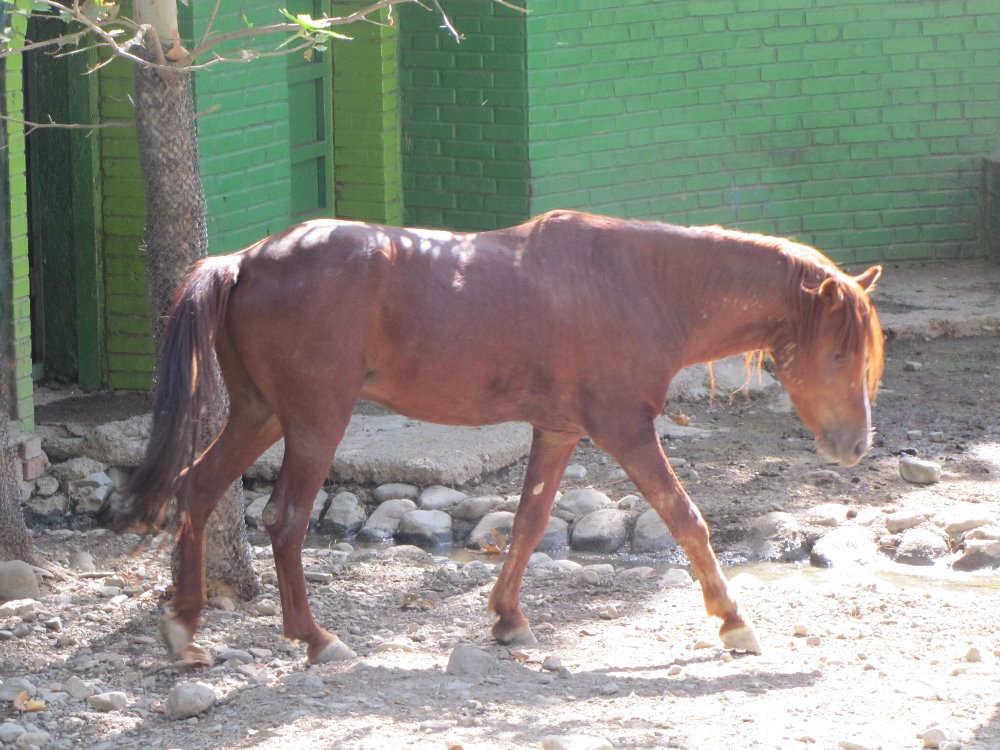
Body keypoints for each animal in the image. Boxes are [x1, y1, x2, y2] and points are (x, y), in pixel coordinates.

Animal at [115, 209, 883, 666]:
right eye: (837, 352)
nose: (856, 446)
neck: (639, 287)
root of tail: (244, 260)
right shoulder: (625, 430)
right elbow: (686, 518)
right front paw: (732, 621)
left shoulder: (559, 430)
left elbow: (529, 522)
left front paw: (508, 620)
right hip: (313, 422)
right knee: (285, 518)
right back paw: (316, 638)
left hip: (259, 414)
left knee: (198, 489)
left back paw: (185, 628)